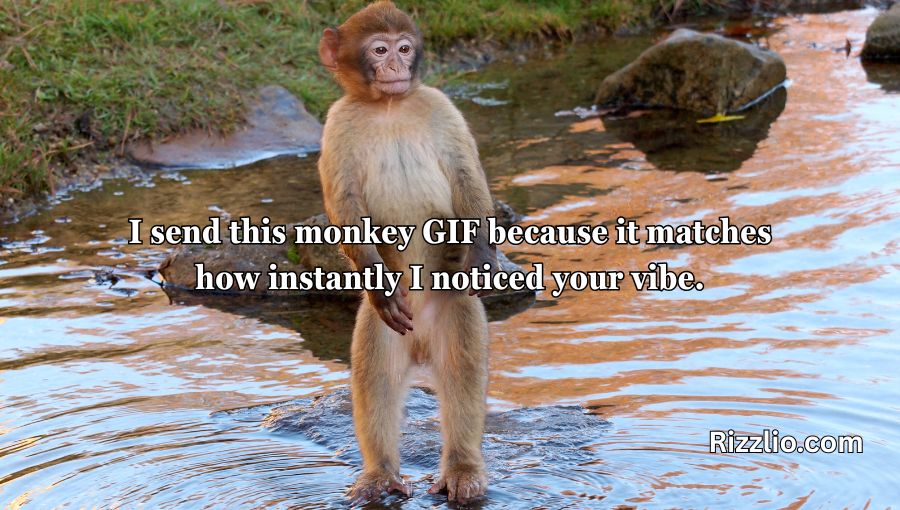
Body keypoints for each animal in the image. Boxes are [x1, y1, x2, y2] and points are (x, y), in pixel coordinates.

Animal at [316, 1, 498, 504]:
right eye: (379, 50)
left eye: (404, 48)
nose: (396, 67)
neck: (390, 107)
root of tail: (420, 342)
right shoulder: (338, 125)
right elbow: (345, 204)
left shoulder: (441, 107)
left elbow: (466, 178)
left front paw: (484, 257)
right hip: (385, 328)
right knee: (374, 379)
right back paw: (380, 474)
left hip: (455, 311)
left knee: (461, 372)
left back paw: (462, 469)